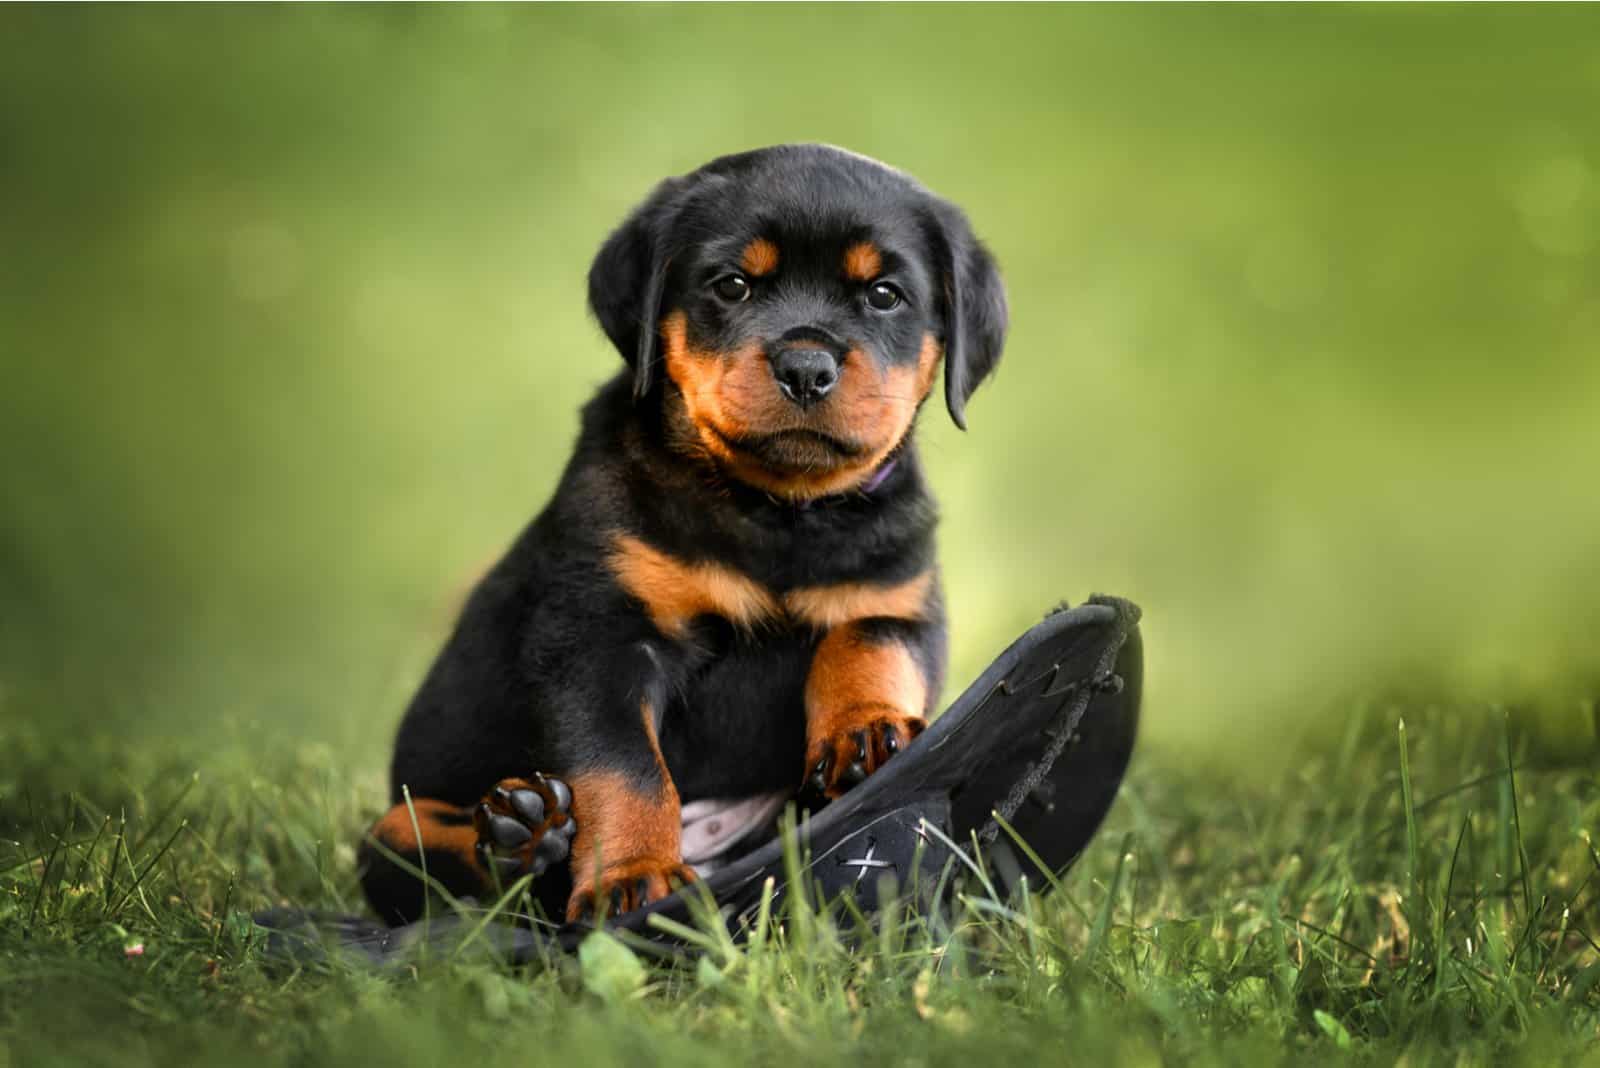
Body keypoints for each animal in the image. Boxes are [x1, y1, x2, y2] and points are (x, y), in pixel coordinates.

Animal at [364, 141, 1011, 927]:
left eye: (885, 295)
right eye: (731, 285)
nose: (806, 366)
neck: (778, 511)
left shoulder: (901, 597)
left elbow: (869, 642)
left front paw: (867, 729)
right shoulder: (599, 638)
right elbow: (626, 768)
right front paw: (634, 876)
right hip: (399, 825)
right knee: (431, 860)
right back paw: (524, 834)